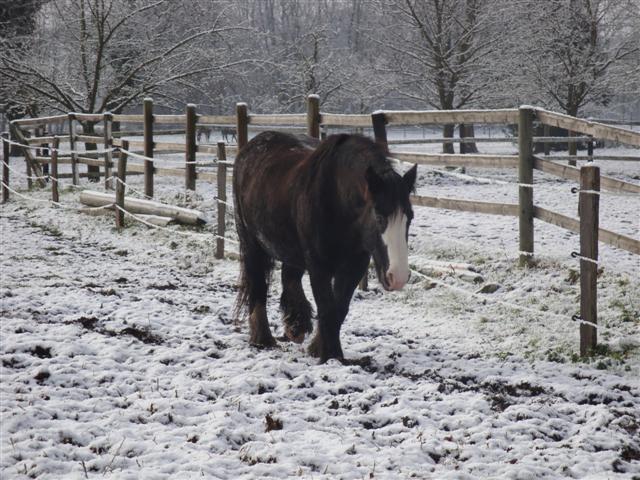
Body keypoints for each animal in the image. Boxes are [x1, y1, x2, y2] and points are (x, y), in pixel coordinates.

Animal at [232, 131, 418, 364]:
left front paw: (319, 348)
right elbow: (328, 309)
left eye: (409, 217)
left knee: (289, 277)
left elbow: (339, 309)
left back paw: (296, 325)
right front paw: (332, 356)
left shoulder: (354, 266)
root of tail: (251, 146)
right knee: (258, 285)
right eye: (378, 216)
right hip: (251, 243)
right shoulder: (319, 266)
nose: (399, 277)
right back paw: (262, 338)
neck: (336, 198)